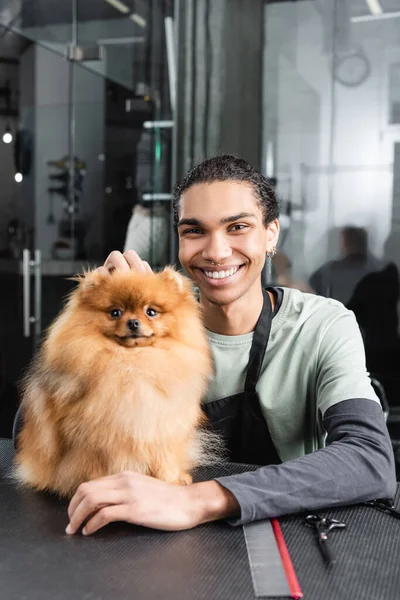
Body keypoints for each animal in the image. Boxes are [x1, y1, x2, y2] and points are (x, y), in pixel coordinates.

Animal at [14, 268, 216, 496]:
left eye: (151, 312)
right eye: (115, 312)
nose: (133, 322)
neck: (132, 364)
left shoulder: (162, 428)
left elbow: (166, 460)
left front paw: (171, 482)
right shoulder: (91, 439)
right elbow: (95, 467)